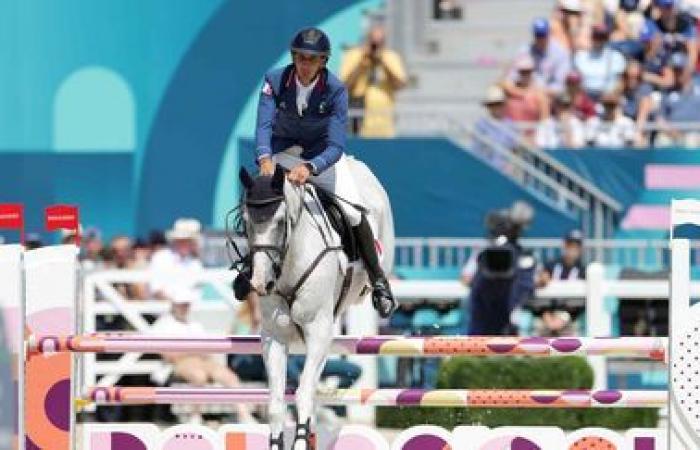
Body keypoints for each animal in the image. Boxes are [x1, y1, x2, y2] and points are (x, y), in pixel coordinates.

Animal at [239, 159, 394, 450]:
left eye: (280, 222)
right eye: (245, 223)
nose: (261, 283)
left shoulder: (318, 330)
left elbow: (303, 392)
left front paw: (300, 442)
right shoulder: (274, 337)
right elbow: (276, 402)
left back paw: (381, 293)